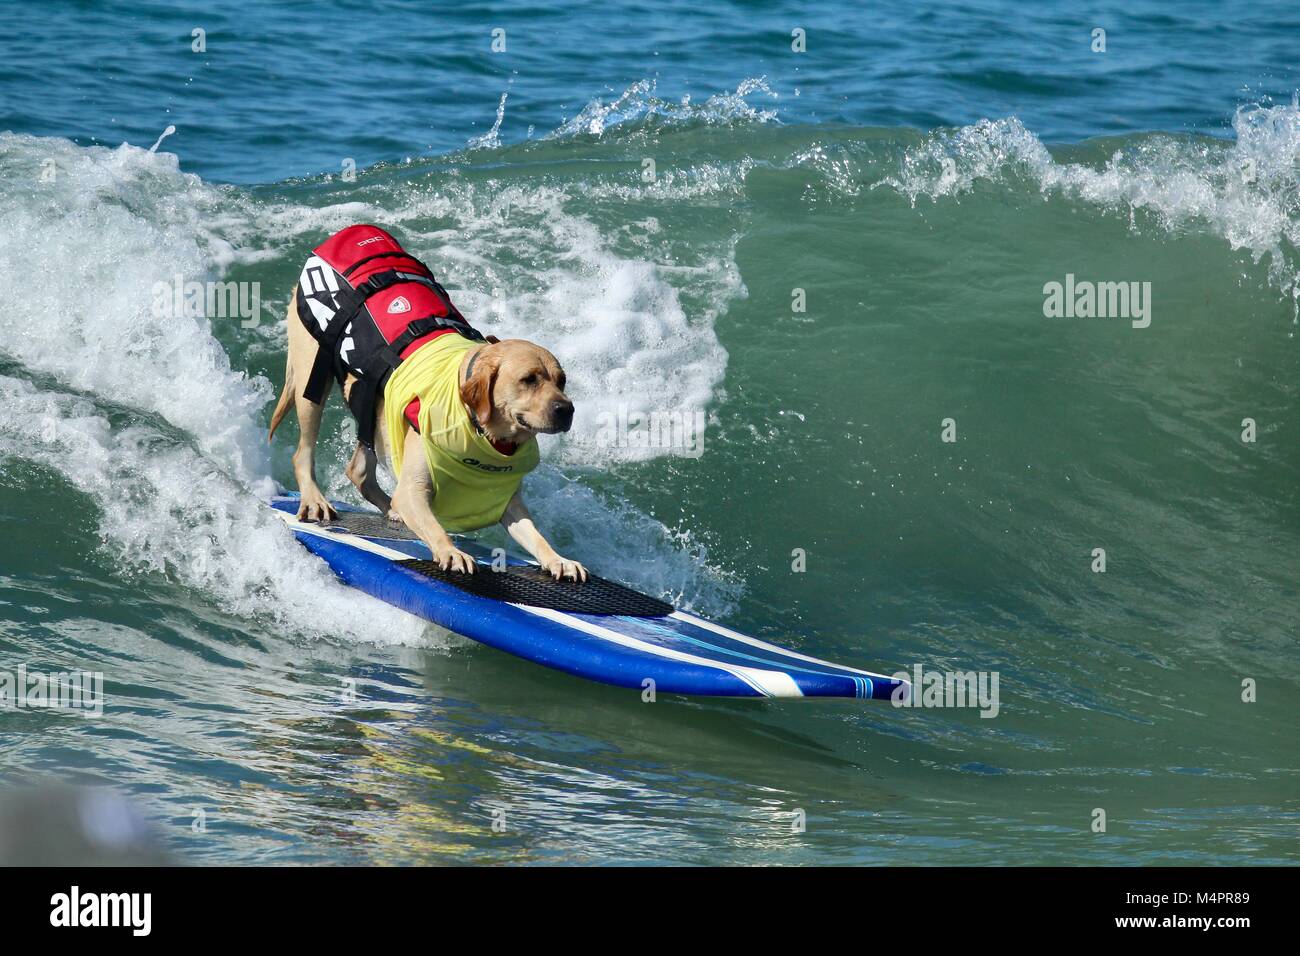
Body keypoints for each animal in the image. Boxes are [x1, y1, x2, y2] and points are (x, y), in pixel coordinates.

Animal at [267, 223, 590, 582]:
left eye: (561, 380)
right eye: (529, 379)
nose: (566, 410)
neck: (480, 430)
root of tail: (349, 233)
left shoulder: (510, 505)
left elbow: (536, 536)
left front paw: (558, 559)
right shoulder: (413, 492)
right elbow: (434, 527)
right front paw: (451, 551)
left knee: (359, 470)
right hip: (311, 378)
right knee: (304, 451)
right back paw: (314, 498)